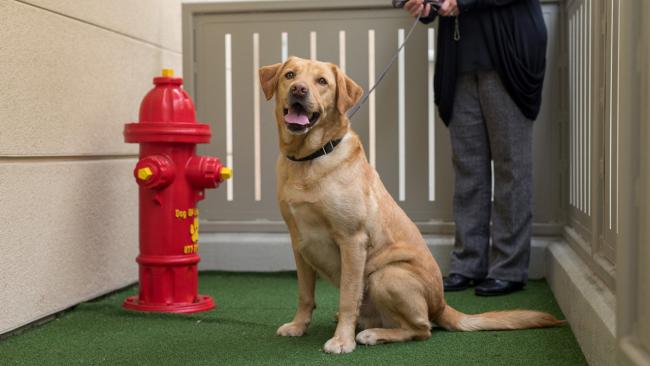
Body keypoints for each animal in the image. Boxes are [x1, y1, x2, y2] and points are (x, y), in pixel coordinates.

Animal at [258, 57, 560, 354]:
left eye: (321, 81)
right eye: (289, 75)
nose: (299, 90)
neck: (309, 158)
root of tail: (441, 304)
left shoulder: (352, 240)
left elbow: (347, 297)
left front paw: (342, 340)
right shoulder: (299, 242)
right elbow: (305, 294)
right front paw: (298, 326)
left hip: (385, 275)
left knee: (421, 329)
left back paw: (372, 334)